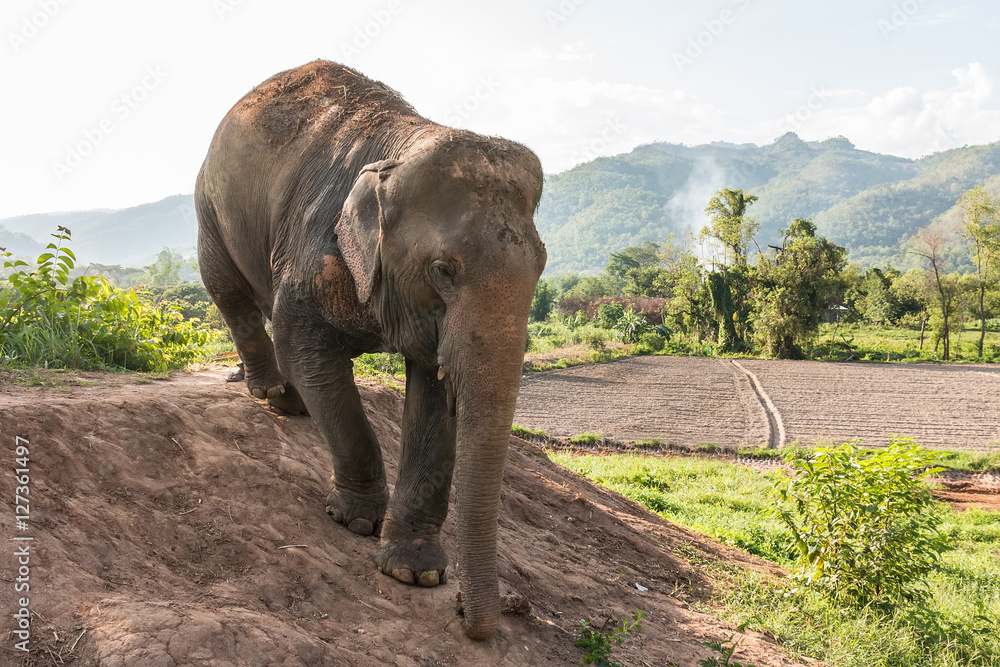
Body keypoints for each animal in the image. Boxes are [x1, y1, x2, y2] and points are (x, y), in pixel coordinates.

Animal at [194, 60, 546, 640]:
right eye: (443, 270)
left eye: (541, 264)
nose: (466, 615)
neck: (407, 139)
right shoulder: (315, 244)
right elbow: (305, 349)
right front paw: (357, 521)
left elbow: (435, 396)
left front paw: (415, 572)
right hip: (209, 203)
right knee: (228, 290)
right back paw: (275, 395)